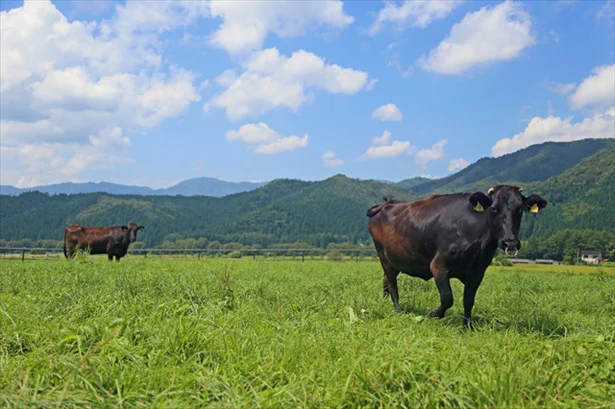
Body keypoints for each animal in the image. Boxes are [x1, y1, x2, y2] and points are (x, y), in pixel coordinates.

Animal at [366, 183, 548, 326]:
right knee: (392, 284)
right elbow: (448, 297)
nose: (510, 242)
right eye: (494, 209)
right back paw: (398, 310)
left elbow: (468, 300)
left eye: (520, 210)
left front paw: (467, 326)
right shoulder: (438, 266)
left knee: (386, 280)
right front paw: (434, 314)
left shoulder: (477, 272)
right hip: (384, 257)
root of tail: (388, 203)